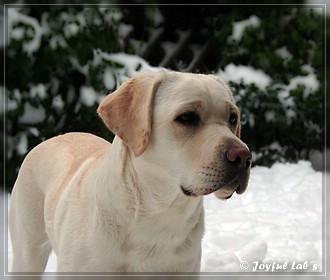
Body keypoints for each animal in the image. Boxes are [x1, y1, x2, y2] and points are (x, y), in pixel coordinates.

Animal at [9, 70, 251, 272]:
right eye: (187, 117)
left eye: (233, 118)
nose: (243, 157)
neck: (160, 215)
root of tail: (52, 139)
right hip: (28, 253)